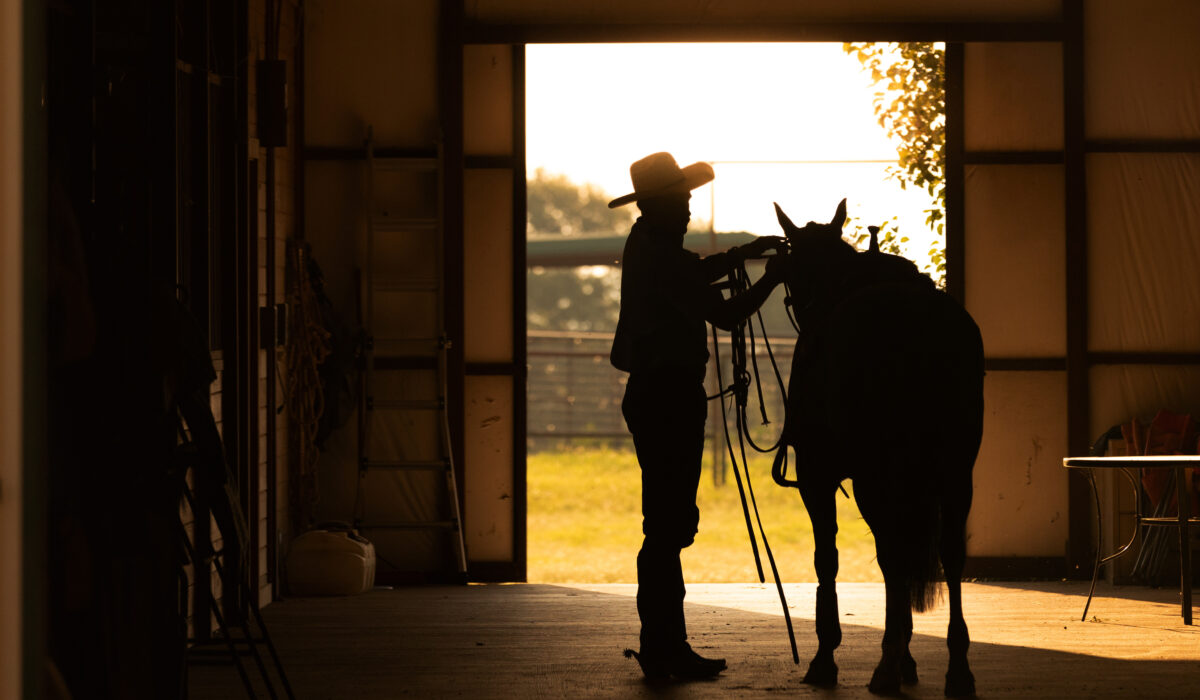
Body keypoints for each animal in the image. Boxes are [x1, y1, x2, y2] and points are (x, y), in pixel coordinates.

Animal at [768, 196, 984, 696]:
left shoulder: (817, 475)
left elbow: (827, 558)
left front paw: (826, 657)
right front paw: (907, 656)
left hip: (877, 474)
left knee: (891, 552)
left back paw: (887, 666)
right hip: (954, 471)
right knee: (949, 553)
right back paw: (956, 668)